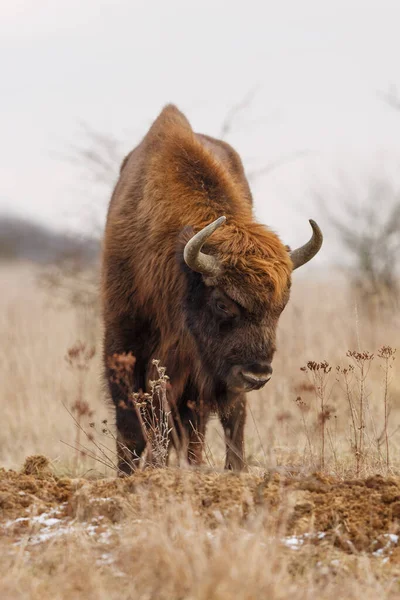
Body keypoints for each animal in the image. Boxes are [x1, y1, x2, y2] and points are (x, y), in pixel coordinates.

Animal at [102, 104, 322, 474]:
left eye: (281, 306)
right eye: (222, 303)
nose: (257, 374)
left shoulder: (201, 375)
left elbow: (213, 420)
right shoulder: (125, 340)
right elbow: (134, 423)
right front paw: (131, 473)